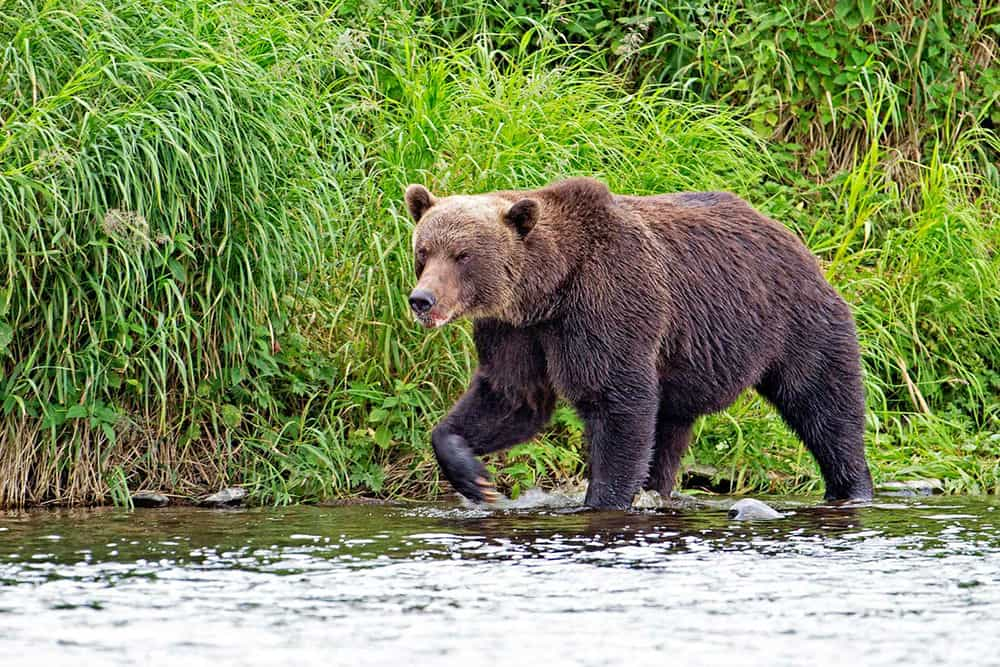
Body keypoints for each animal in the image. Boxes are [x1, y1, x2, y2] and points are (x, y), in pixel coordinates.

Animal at [402, 177, 872, 512]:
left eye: (462, 255)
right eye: (424, 251)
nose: (422, 300)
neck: (550, 291)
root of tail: (794, 238)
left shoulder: (609, 303)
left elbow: (616, 401)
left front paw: (601, 500)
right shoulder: (514, 331)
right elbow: (511, 397)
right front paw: (476, 478)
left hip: (792, 321)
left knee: (824, 402)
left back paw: (852, 487)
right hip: (687, 364)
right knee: (668, 430)